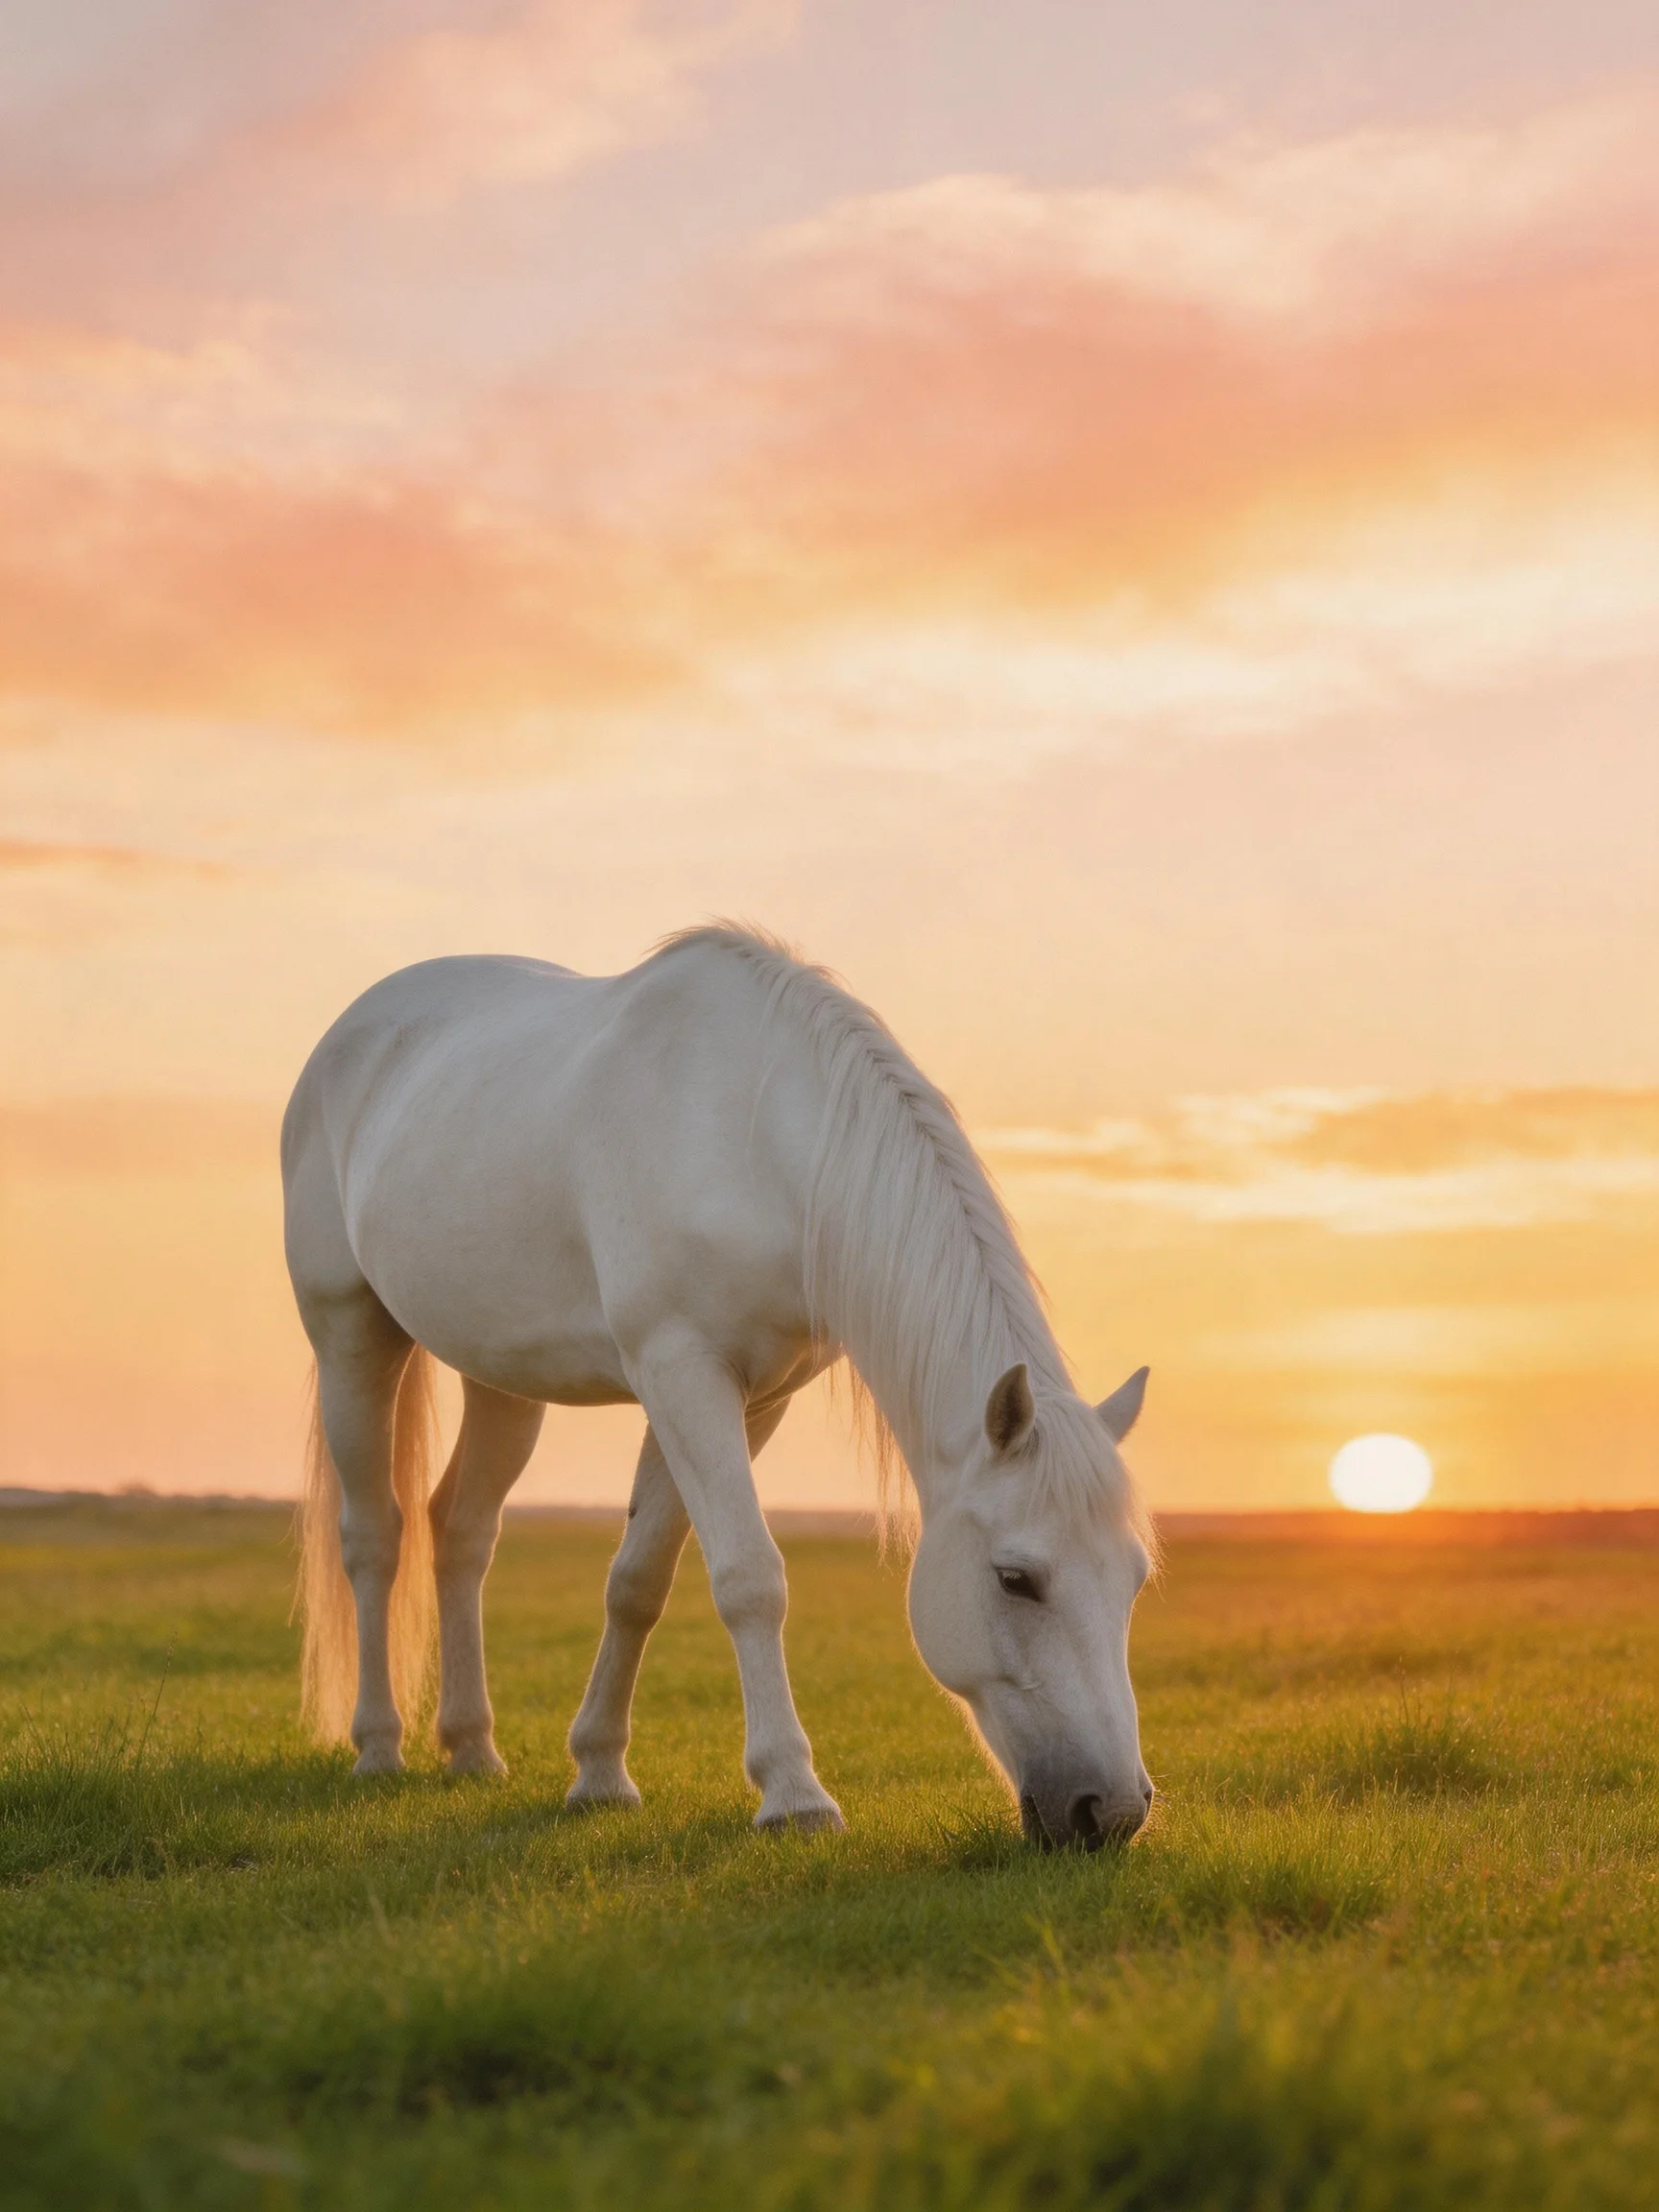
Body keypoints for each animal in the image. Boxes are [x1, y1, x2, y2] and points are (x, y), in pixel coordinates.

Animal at [282, 926, 1156, 1847]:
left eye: (1134, 1577)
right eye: (1015, 1579)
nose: (1113, 1811)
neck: (761, 1144)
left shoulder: (753, 1397)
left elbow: (639, 1581)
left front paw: (599, 1772)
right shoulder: (682, 1373)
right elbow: (748, 1577)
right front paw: (794, 1793)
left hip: (502, 1376)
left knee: (461, 1531)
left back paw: (472, 1748)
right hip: (350, 1336)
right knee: (374, 1536)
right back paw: (378, 1747)